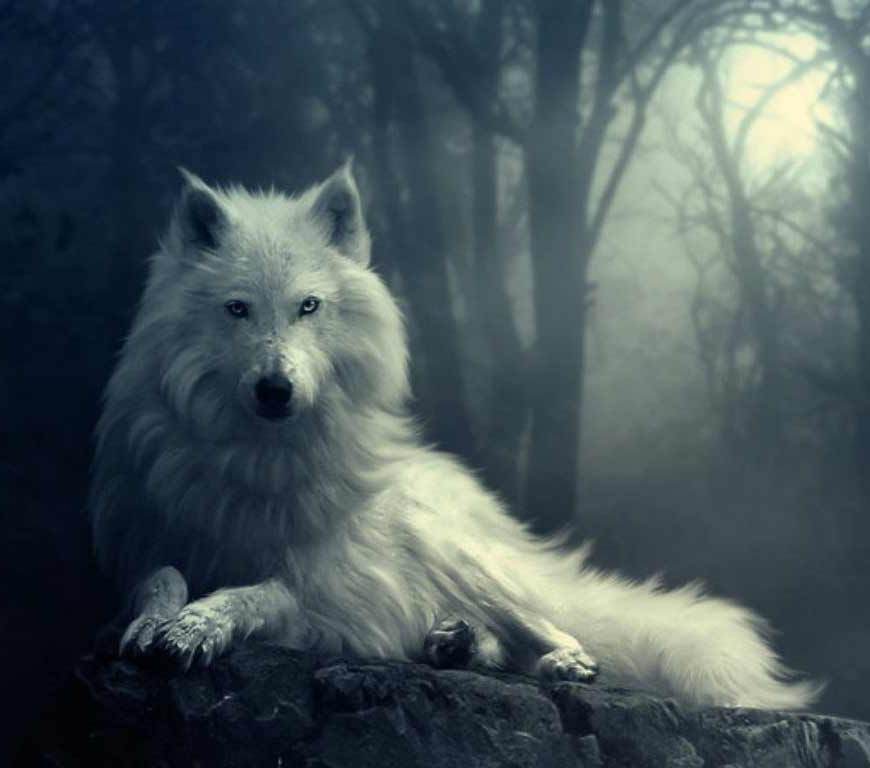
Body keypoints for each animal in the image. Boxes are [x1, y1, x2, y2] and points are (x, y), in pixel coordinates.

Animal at [90, 164, 819, 709]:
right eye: (237, 309)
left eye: (309, 307)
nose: (276, 389)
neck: (259, 460)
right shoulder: (144, 541)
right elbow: (159, 578)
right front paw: (155, 622)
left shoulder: (327, 591)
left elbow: (257, 593)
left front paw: (198, 626)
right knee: (489, 639)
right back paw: (452, 642)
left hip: (457, 554)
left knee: (557, 629)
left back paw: (557, 661)